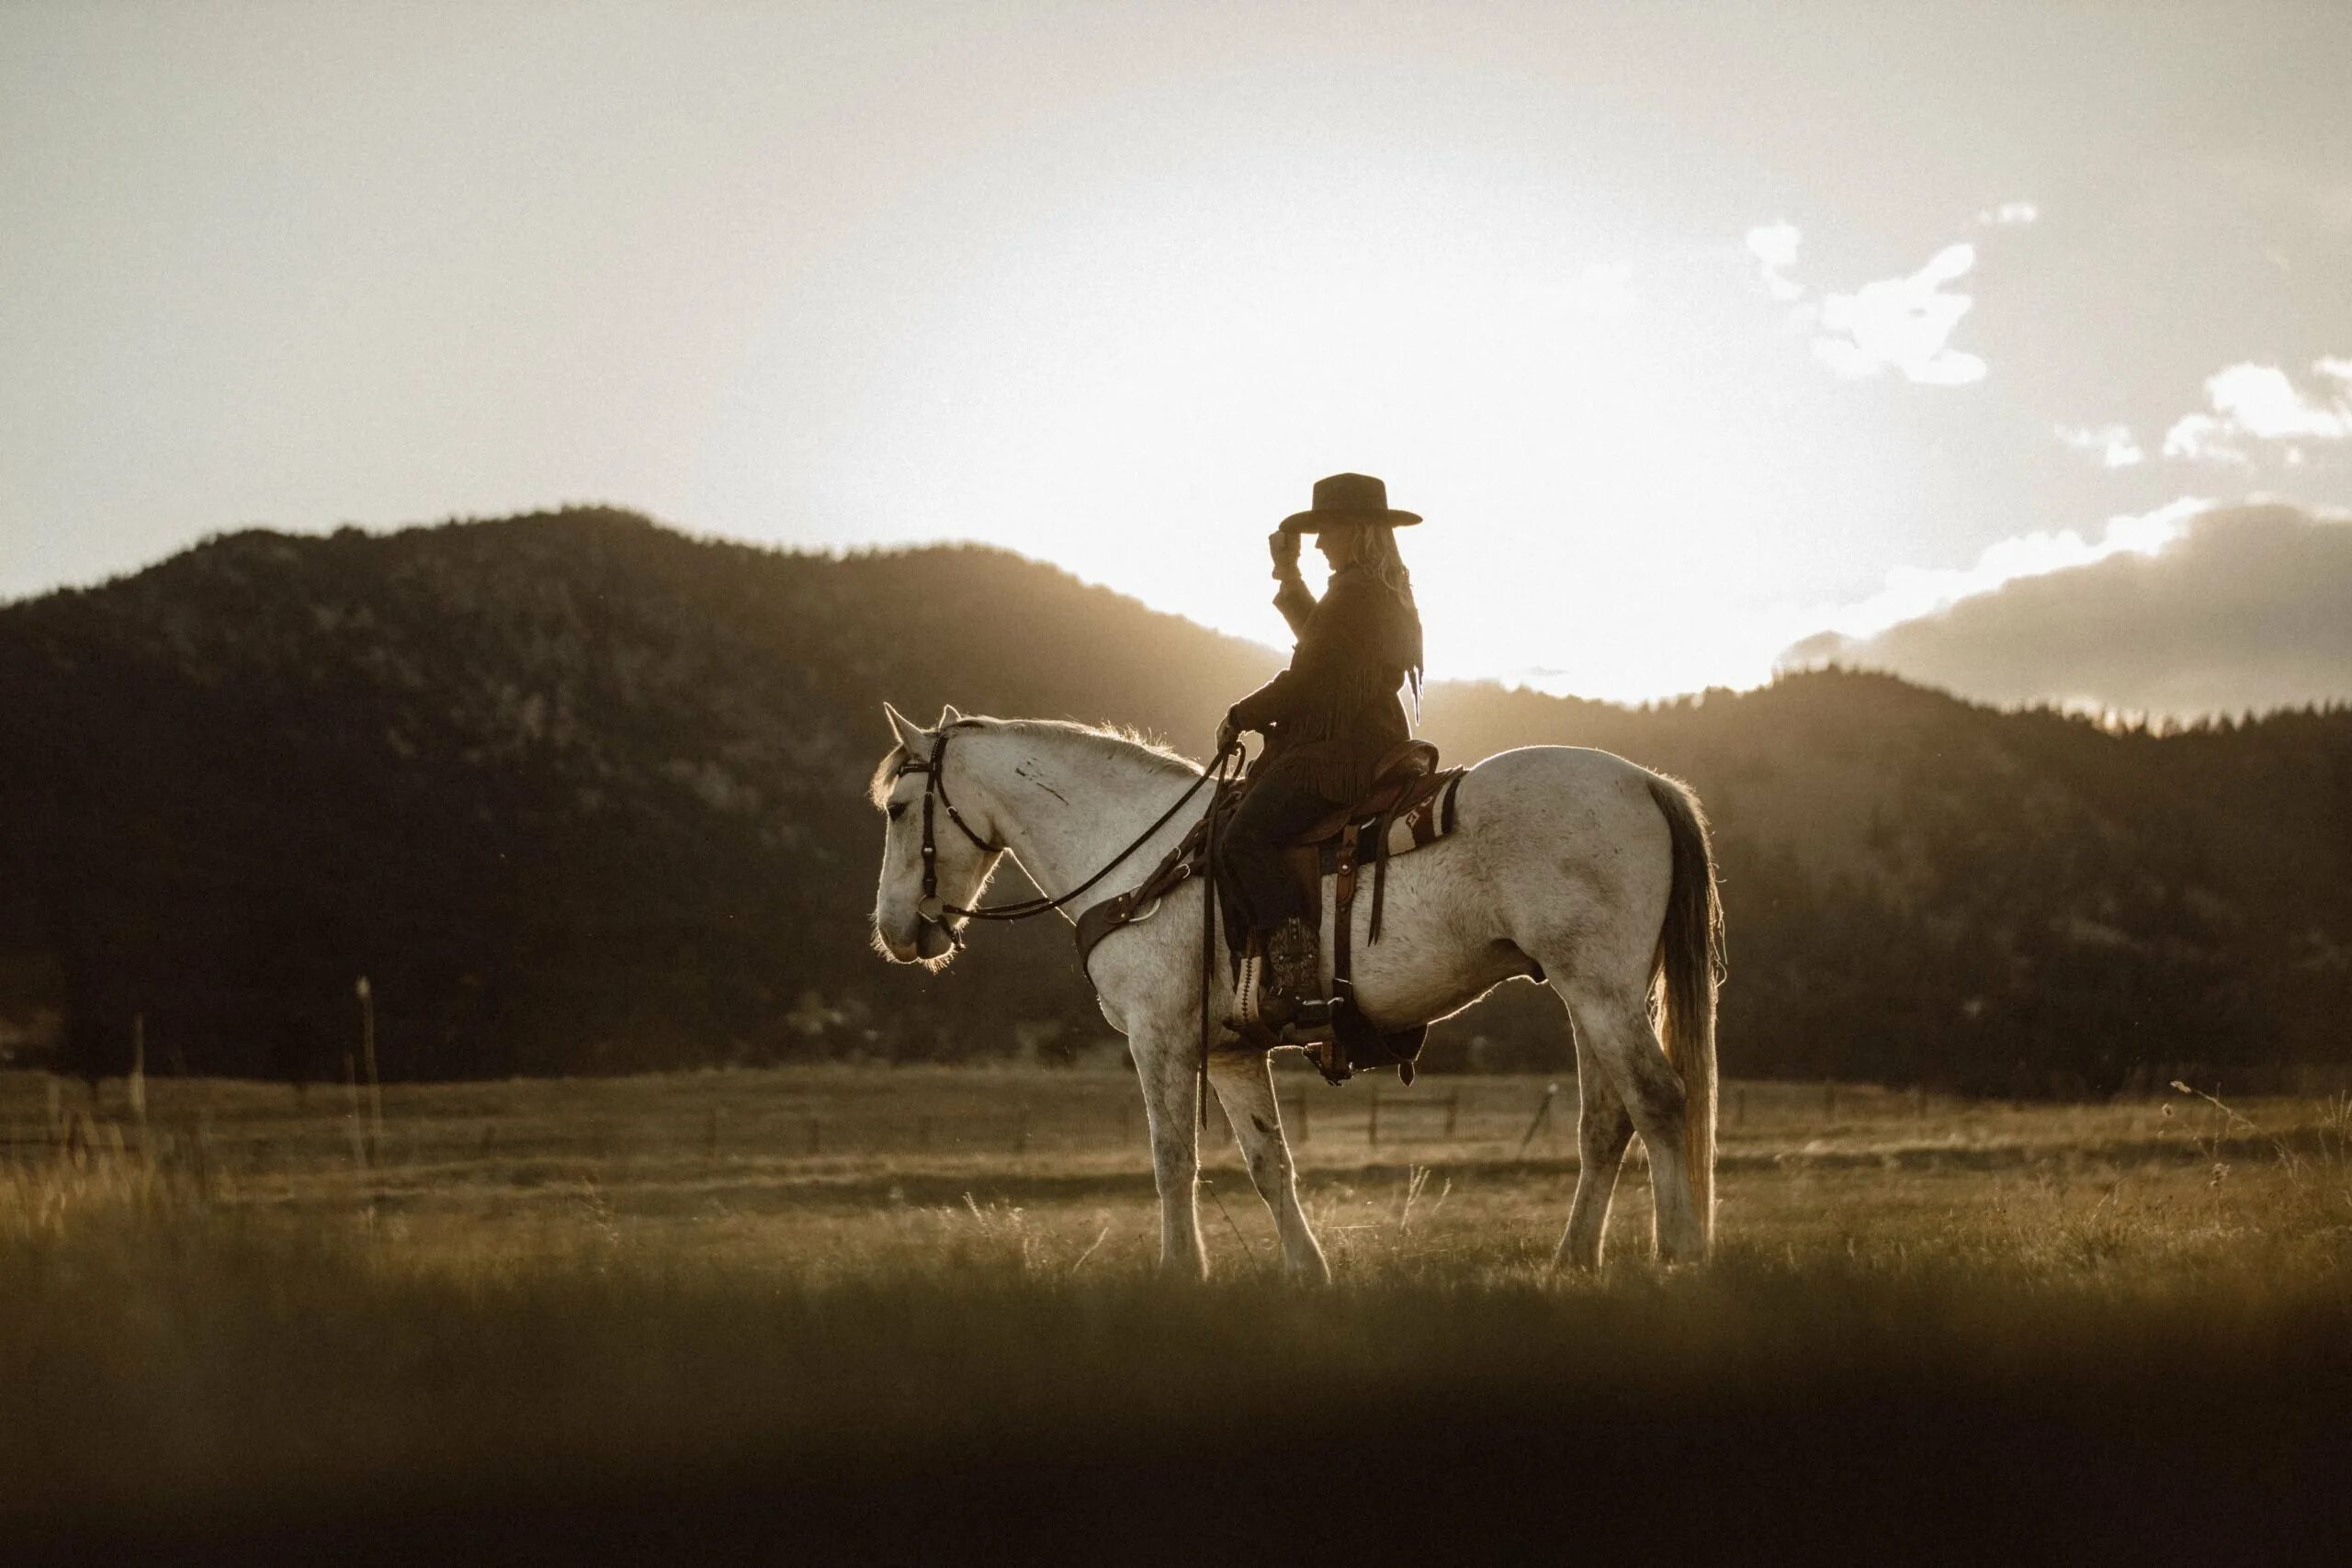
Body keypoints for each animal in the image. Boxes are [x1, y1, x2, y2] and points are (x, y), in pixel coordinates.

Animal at [875, 700, 1721, 1279]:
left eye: (896, 808)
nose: (894, 930)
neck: (1142, 859)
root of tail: (1646, 782)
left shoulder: (1160, 1037)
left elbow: (1172, 1156)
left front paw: (1180, 1273)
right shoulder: (1232, 1051)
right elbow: (1266, 1161)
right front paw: (1305, 1271)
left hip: (1600, 989)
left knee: (1658, 1098)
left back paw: (1678, 1252)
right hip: (1591, 995)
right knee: (1605, 1123)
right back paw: (1574, 1258)